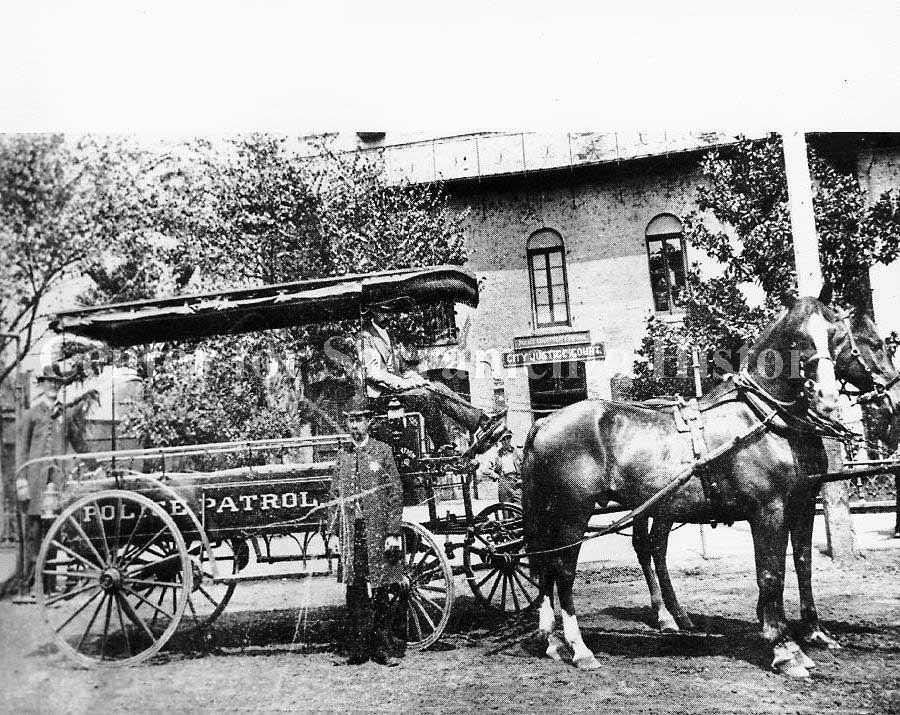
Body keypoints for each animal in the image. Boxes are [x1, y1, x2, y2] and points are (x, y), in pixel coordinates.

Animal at [520, 290, 900, 676]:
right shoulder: (769, 510)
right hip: (573, 514)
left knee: (554, 565)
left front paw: (811, 634)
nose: (826, 398)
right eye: (873, 344)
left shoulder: (803, 504)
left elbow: (802, 564)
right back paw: (580, 647)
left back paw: (558, 640)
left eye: (835, 337)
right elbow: (772, 574)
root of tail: (545, 421)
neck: (764, 417)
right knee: (564, 570)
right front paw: (783, 648)